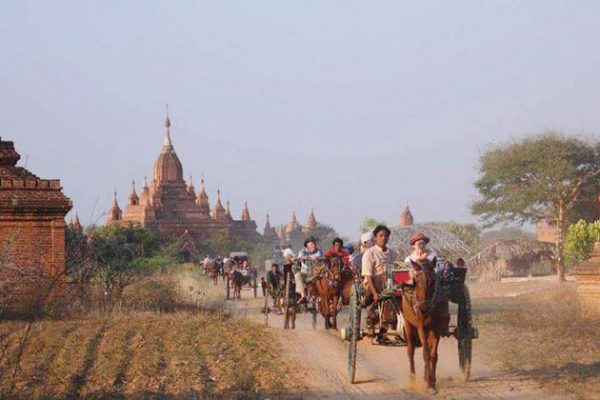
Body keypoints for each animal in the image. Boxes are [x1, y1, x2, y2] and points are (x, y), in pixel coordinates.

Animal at [404, 260, 450, 394]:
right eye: (416, 281)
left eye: (433, 281)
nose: (423, 308)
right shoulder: (421, 328)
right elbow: (425, 354)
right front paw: (429, 383)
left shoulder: (437, 329)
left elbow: (433, 355)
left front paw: (432, 382)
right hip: (408, 324)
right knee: (410, 350)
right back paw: (412, 378)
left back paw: (425, 376)